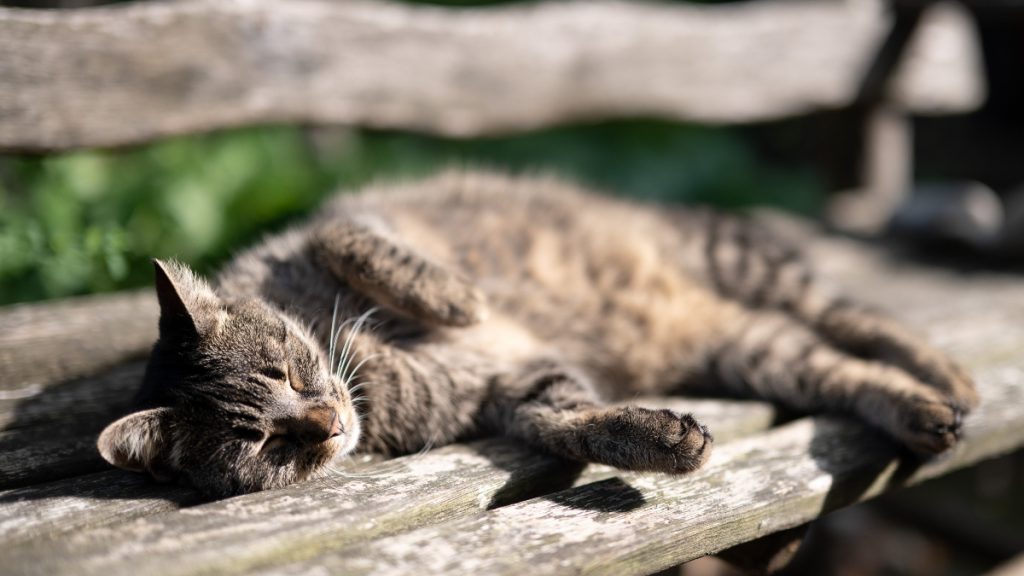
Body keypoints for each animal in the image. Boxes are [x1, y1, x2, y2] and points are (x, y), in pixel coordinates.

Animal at [94, 168, 974, 496]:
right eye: (266, 445)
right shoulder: (514, 394)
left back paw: (949, 374)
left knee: (854, 317)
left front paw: (457, 301)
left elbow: (358, 243)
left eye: (286, 369)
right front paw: (659, 441)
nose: (328, 423)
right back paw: (925, 411)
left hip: (744, 266)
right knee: (840, 367)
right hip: (752, 348)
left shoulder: (337, 225)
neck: (370, 374)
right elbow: (577, 422)